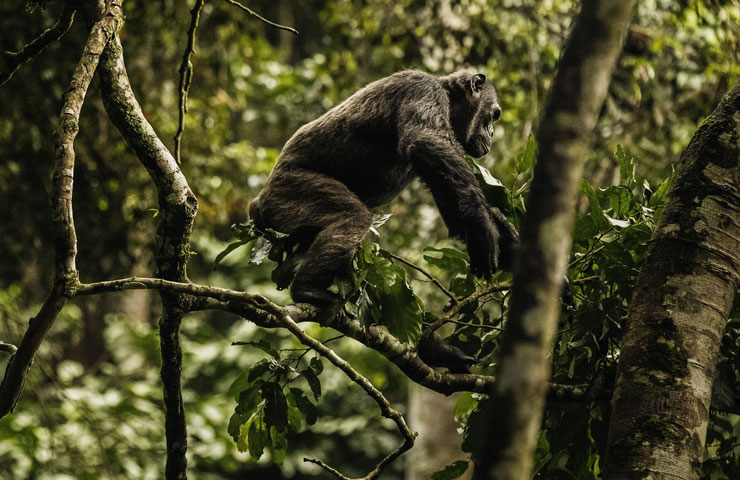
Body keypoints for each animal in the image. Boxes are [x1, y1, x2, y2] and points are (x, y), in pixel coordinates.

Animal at [251, 69, 516, 306]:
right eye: (494, 115)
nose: (492, 132)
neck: (449, 100)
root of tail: (259, 201)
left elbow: (455, 206)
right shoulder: (422, 89)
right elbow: (427, 142)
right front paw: (483, 231)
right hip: (290, 191)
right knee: (352, 217)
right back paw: (307, 290)